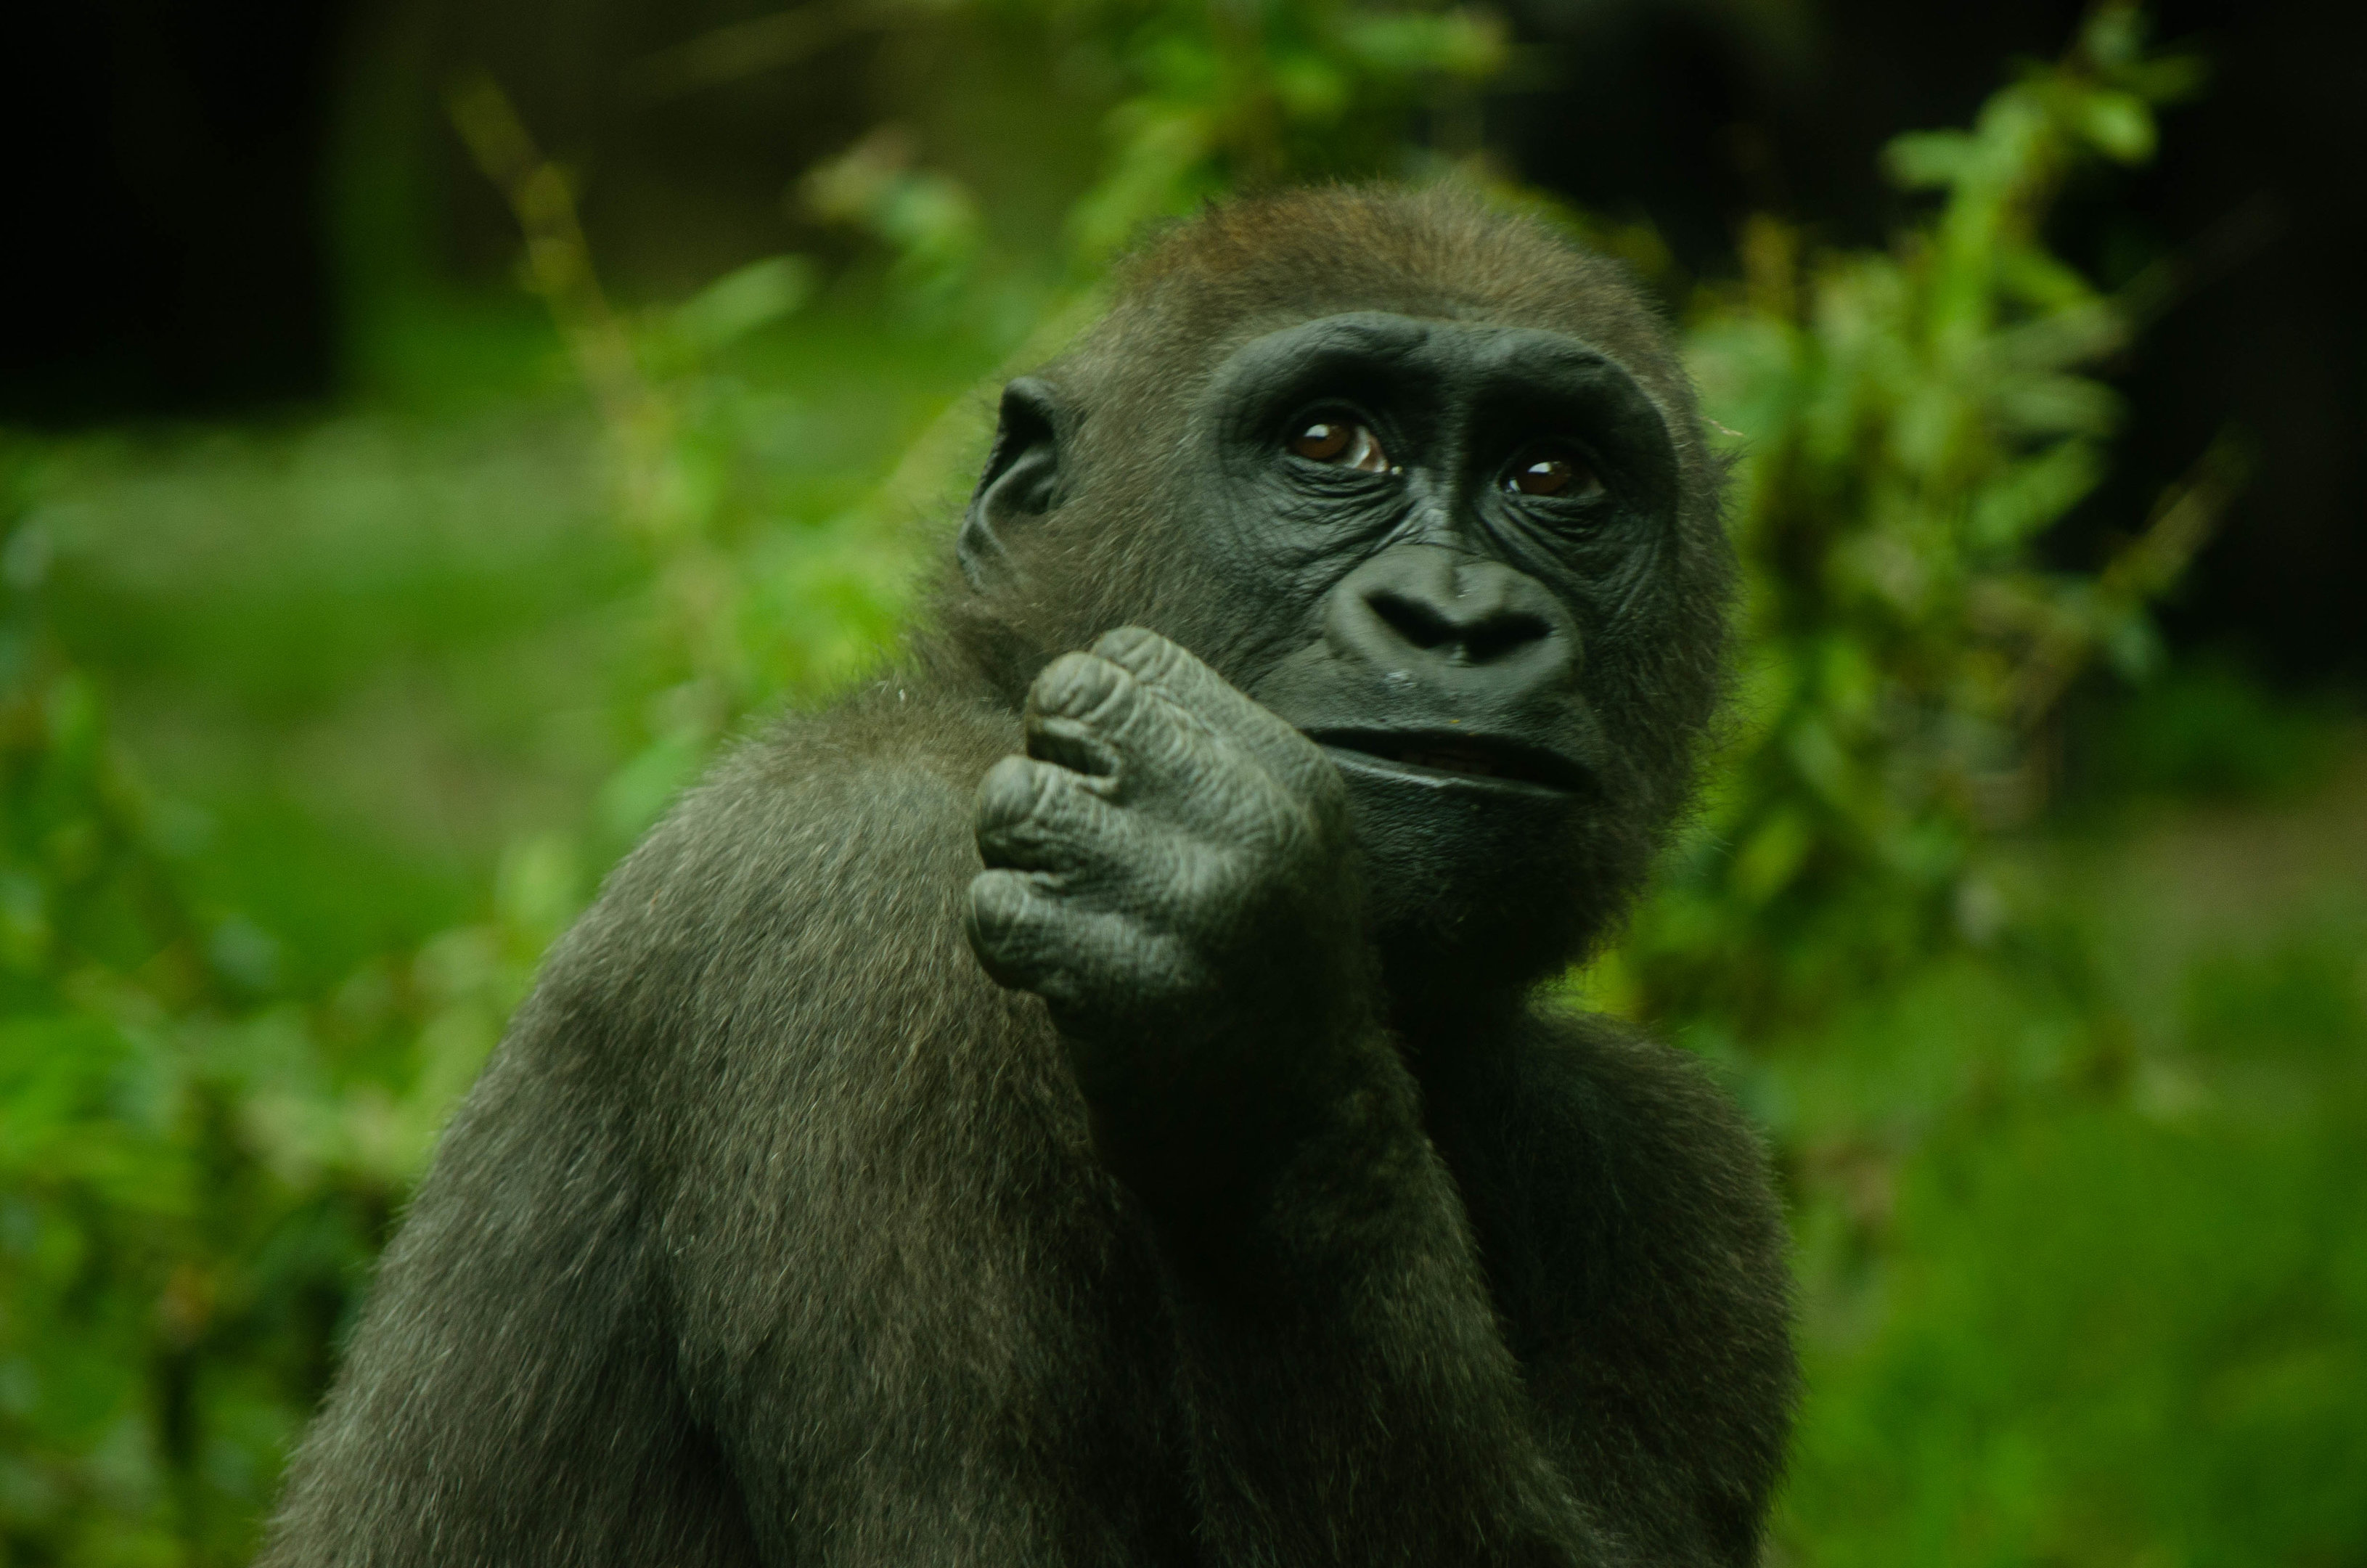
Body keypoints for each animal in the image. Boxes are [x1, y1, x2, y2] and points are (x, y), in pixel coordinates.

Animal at [256, 184, 1794, 1568]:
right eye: (1330, 443)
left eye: (1555, 479)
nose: (1456, 619)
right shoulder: (868, 917)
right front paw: (1258, 1013)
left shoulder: (1684, 1164)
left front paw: (1255, 1036)